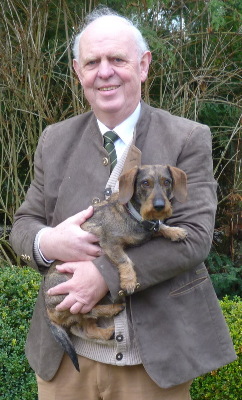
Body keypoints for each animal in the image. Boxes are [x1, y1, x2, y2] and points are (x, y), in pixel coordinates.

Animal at [44, 164, 187, 370]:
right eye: (145, 183)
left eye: (167, 182)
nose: (160, 206)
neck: (133, 215)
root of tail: (47, 311)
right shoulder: (110, 243)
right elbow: (124, 260)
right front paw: (129, 281)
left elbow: (159, 227)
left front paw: (174, 231)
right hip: (69, 287)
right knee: (88, 310)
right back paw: (113, 309)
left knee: (87, 327)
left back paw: (108, 332)